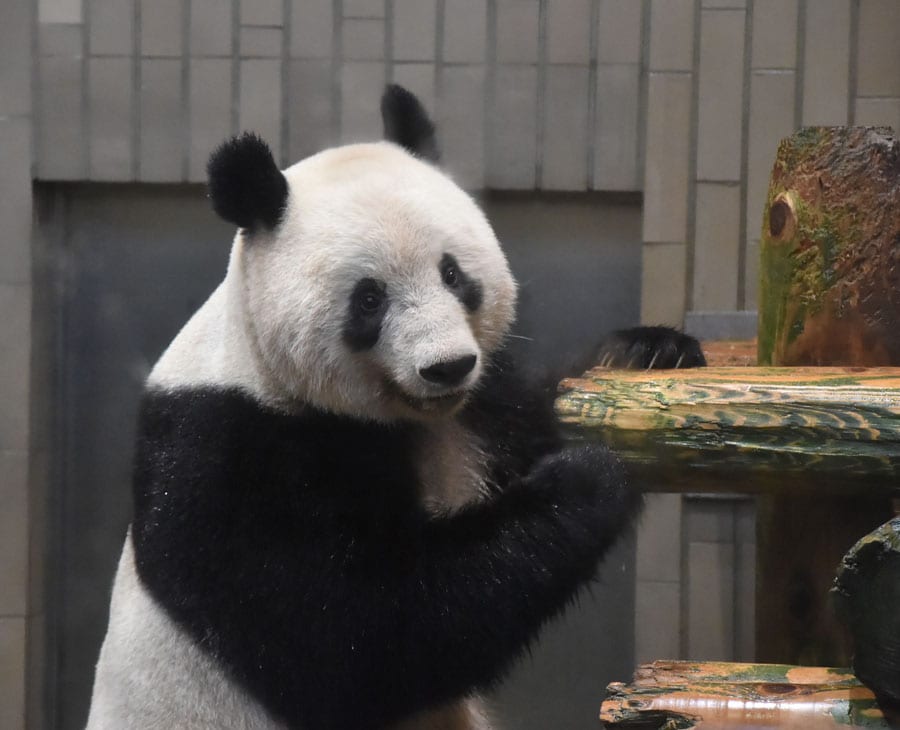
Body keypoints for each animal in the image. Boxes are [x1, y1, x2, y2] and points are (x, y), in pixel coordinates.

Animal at [84, 86, 660, 728]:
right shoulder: (228, 457)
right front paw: (588, 478)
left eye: (452, 272)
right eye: (368, 299)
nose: (446, 367)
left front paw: (644, 352)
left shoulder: (481, 405)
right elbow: (359, 635)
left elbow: (528, 426)